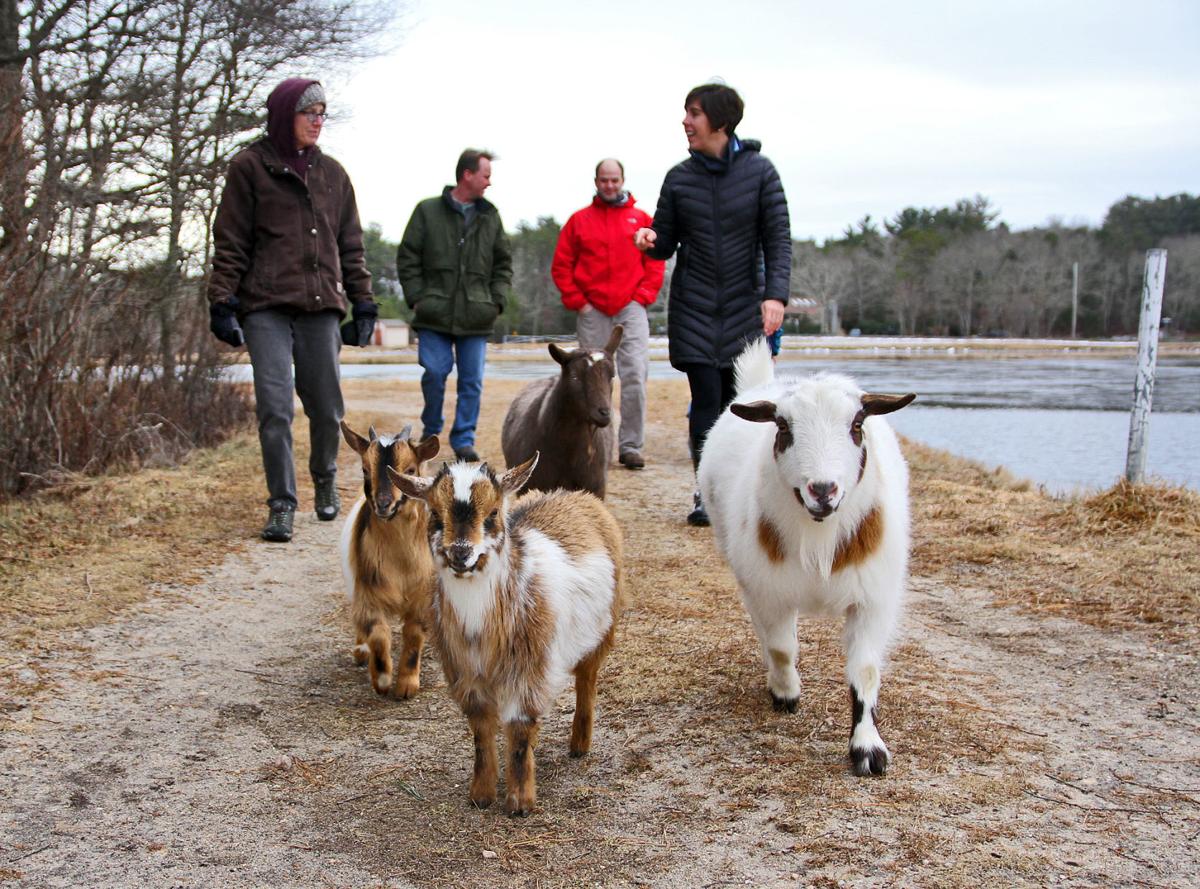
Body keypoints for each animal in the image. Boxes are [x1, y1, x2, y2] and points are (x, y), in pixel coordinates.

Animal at [339, 421, 440, 698]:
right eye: (365, 469)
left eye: (410, 470)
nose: (384, 504)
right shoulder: (369, 590)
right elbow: (377, 634)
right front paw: (382, 679)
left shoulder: (422, 595)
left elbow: (414, 635)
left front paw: (406, 686)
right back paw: (361, 652)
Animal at [391, 453, 624, 816]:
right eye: (434, 514)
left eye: (492, 514)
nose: (460, 553)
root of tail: (574, 494)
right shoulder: (465, 672)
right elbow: (481, 730)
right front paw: (481, 794)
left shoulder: (529, 670)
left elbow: (519, 727)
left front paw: (520, 802)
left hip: (602, 631)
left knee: (587, 680)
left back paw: (579, 745)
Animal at [697, 338, 915, 777]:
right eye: (783, 427)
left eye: (857, 425)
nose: (823, 490)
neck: (820, 534)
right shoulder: (770, 589)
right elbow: (782, 648)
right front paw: (786, 693)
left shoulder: (872, 598)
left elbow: (865, 670)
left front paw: (868, 748)